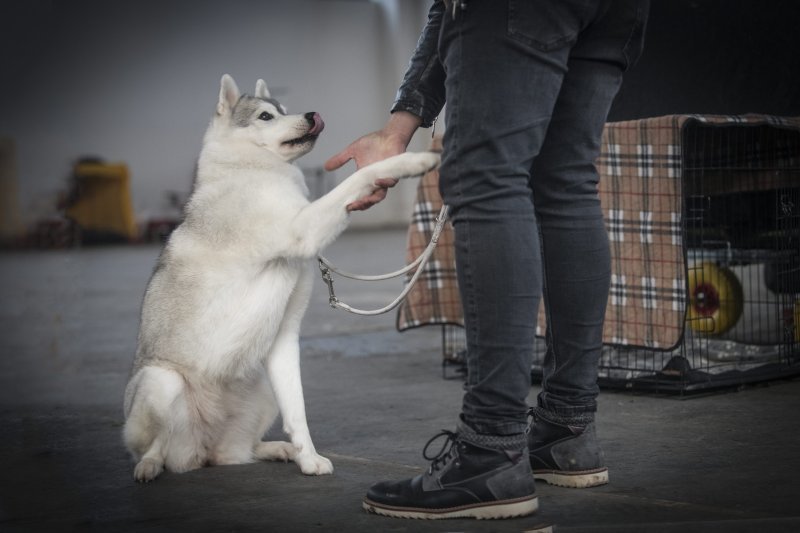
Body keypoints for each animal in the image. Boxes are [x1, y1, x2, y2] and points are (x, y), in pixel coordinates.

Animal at [122, 76, 440, 482]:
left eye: (284, 110)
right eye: (265, 116)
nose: (311, 115)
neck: (252, 168)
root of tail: (201, 451)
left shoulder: (285, 337)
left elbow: (298, 411)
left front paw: (309, 459)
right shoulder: (303, 226)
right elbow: (358, 177)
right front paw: (414, 161)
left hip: (260, 391)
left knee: (237, 452)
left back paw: (277, 450)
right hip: (160, 383)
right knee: (158, 447)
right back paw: (149, 465)